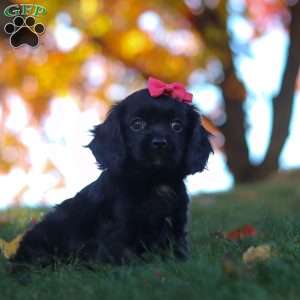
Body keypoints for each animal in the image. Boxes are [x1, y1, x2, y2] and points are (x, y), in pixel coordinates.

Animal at [11, 86, 212, 268]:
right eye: (137, 124)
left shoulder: (176, 225)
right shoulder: (119, 231)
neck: (153, 181)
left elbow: (178, 252)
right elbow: (125, 259)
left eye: (177, 126)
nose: (159, 143)